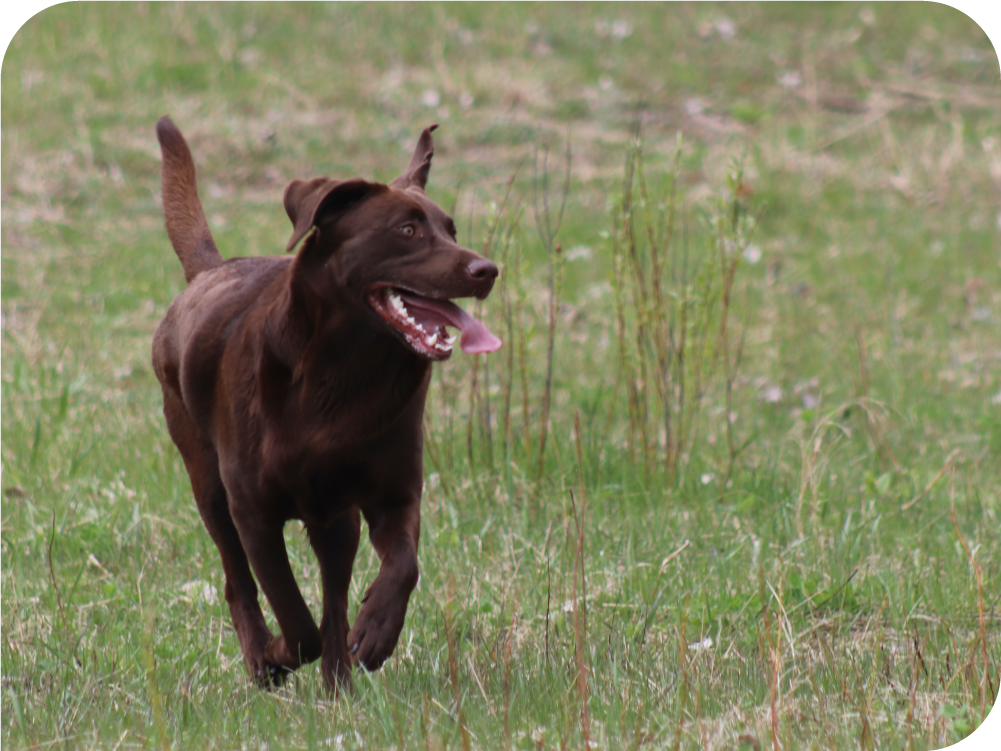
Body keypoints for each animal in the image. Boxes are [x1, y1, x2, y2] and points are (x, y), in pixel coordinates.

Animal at [151, 116, 500, 688]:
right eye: (407, 230)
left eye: (452, 230)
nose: (487, 270)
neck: (345, 375)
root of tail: (208, 272)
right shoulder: (253, 511)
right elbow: (294, 619)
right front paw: (277, 655)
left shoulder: (391, 494)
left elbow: (403, 566)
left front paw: (376, 632)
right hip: (208, 485)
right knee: (238, 582)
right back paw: (263, 658)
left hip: (335, 521)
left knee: (334, 602)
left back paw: (339, 683)